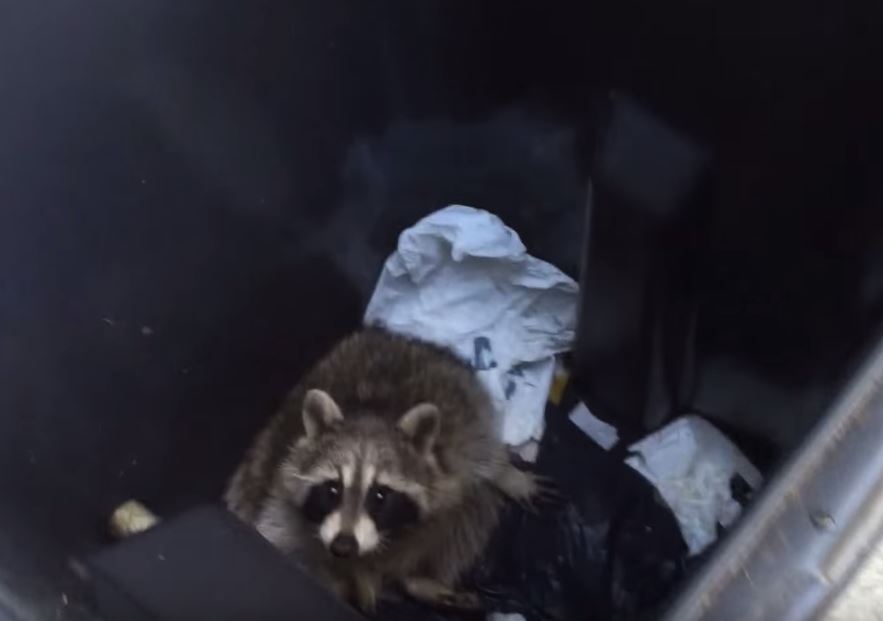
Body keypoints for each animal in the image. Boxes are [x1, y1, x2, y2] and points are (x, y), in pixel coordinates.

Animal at [225, 327, 540, 611]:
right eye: (333, 489)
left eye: (379, 495)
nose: (343, 546)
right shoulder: (280, 495)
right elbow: (281, 538)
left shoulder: (456, 438)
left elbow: (482, 456)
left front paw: (509, 475)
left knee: (474, 508)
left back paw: (418, 578)